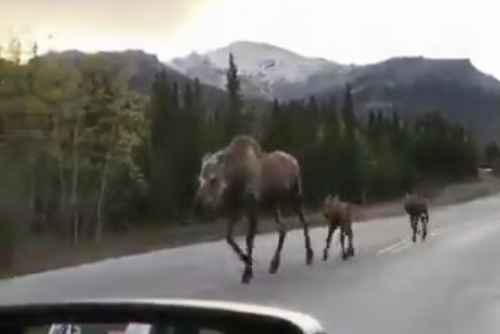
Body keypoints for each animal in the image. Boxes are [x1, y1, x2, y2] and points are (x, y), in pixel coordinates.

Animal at [194, 136, 312, 284]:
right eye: (200, 179)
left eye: (213, 179)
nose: (199, 204)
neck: (234, 184)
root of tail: (295, 161)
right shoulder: (235, 211)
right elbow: (229, 238)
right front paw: (246, 260)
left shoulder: (252, 210)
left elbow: (249, 240)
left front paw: (247, 272)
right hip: (273, 205)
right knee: (283, 229)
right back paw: (274, 263)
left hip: (294, 197)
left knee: (304, 222)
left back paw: (309, 255)